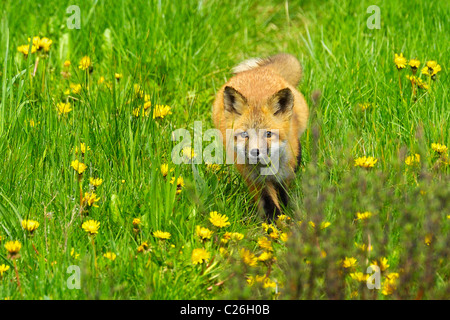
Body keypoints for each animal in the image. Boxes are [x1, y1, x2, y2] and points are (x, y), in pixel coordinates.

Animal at [213, 54, 308, 220]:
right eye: (244, 135)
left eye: (268, 134)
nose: (254, 152)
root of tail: (259, 71)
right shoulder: (256, 182)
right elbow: (270, 207)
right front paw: (276, 224)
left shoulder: (286, 176)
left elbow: (284, 196)